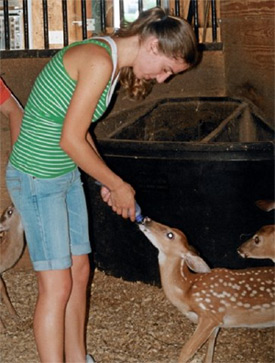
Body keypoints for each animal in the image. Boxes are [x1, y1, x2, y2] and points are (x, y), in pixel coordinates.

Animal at [139, 218, 274, 362]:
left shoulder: (209, 314)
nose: (146, 219)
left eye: (170, 235)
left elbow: (186, 351)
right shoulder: (217, 319)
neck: (186, 291)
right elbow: (211, 341)